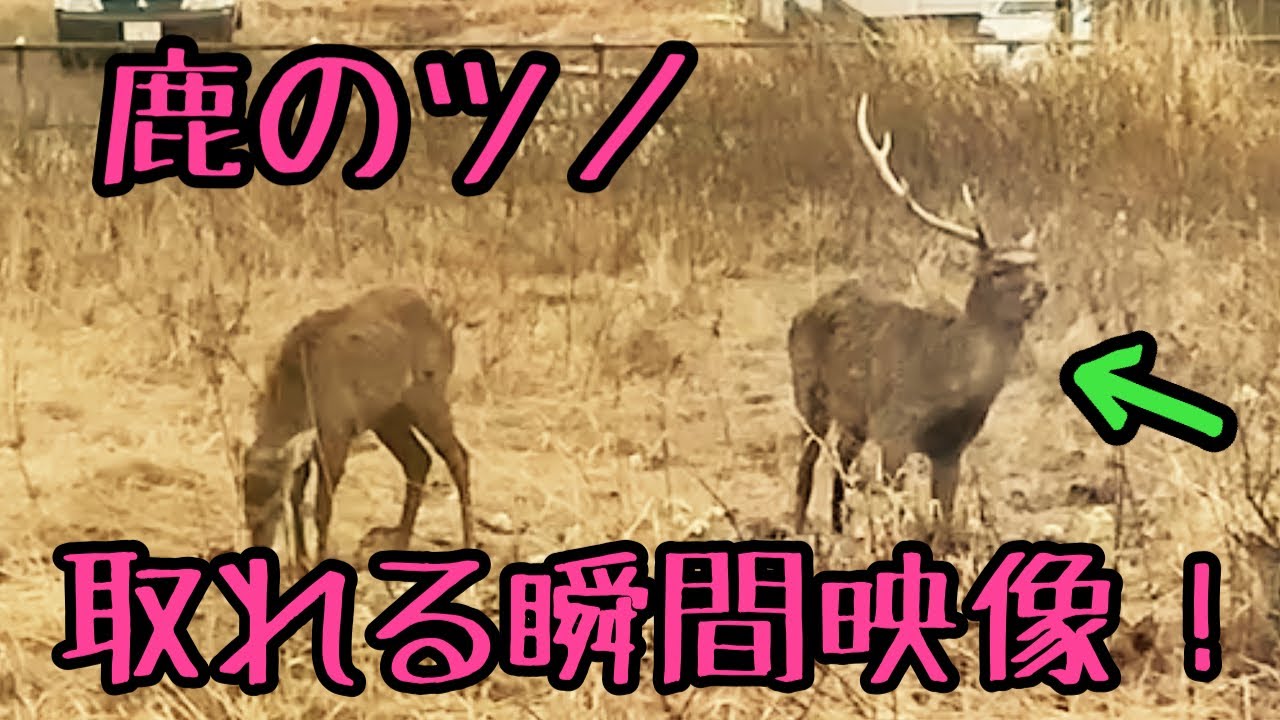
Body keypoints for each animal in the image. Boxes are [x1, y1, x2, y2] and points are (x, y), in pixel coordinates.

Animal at [237, 285, 474, 567]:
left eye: (274, 500)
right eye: (243, 493)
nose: (258, 539)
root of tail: (444, 326)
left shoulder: (336, 437)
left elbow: (322, 509)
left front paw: (316, 557)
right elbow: (297, 498)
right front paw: (301, 560)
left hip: (427, 397)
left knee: (458, 456)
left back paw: (470, 540)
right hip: (388, 417)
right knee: (419, 460)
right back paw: (401, 541)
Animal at [789, 93, 1048, 537]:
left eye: (1034, 263)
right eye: (998, 270)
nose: (1042, 289)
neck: (948, 380)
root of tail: (804, 311)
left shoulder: (952, 448)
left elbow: (944, 523)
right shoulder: (895, 429)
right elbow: (898, 509)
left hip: (854, 418)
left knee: (841, 460)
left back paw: (840, 527)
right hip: (807, 390)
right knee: (807, 464)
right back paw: (800, 526)